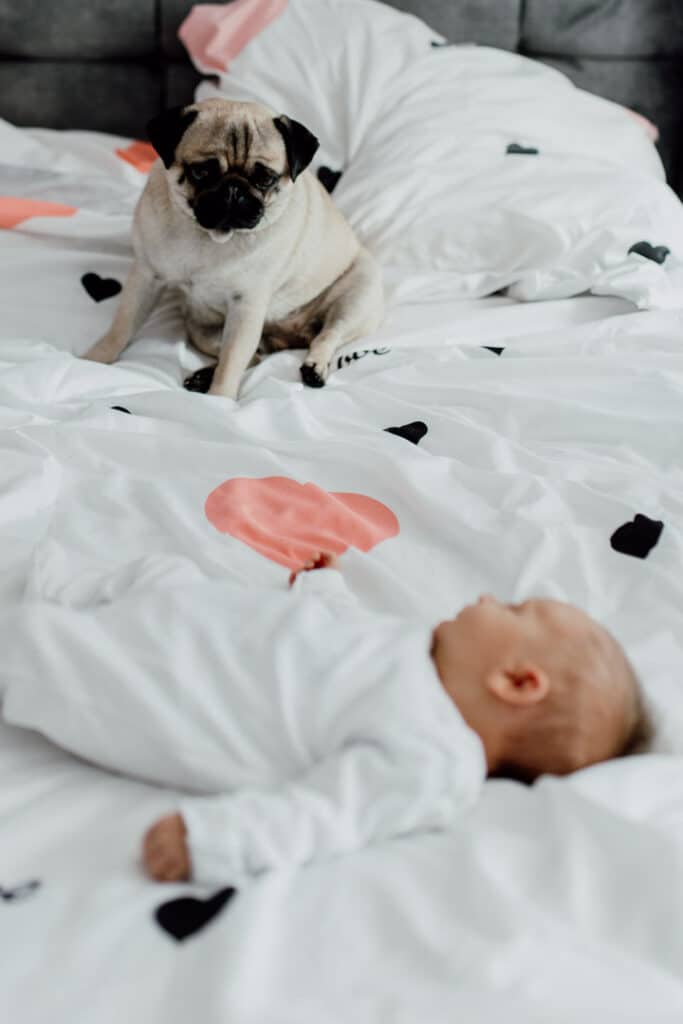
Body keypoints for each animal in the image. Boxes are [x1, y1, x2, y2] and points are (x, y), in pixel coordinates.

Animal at [83, 96, 385, 399]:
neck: (211, 238)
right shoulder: (146, 276)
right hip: (200, 328)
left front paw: (219, 400)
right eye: (202, 172)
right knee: (255, 357)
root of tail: (291, 335)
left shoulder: (246, 306)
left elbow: (231, 363)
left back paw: (315, 367)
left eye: (265, 179)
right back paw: (203, 376)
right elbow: (122, 325)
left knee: (327, 336)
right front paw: (96, 360)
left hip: (358, 295)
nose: (233, 189)